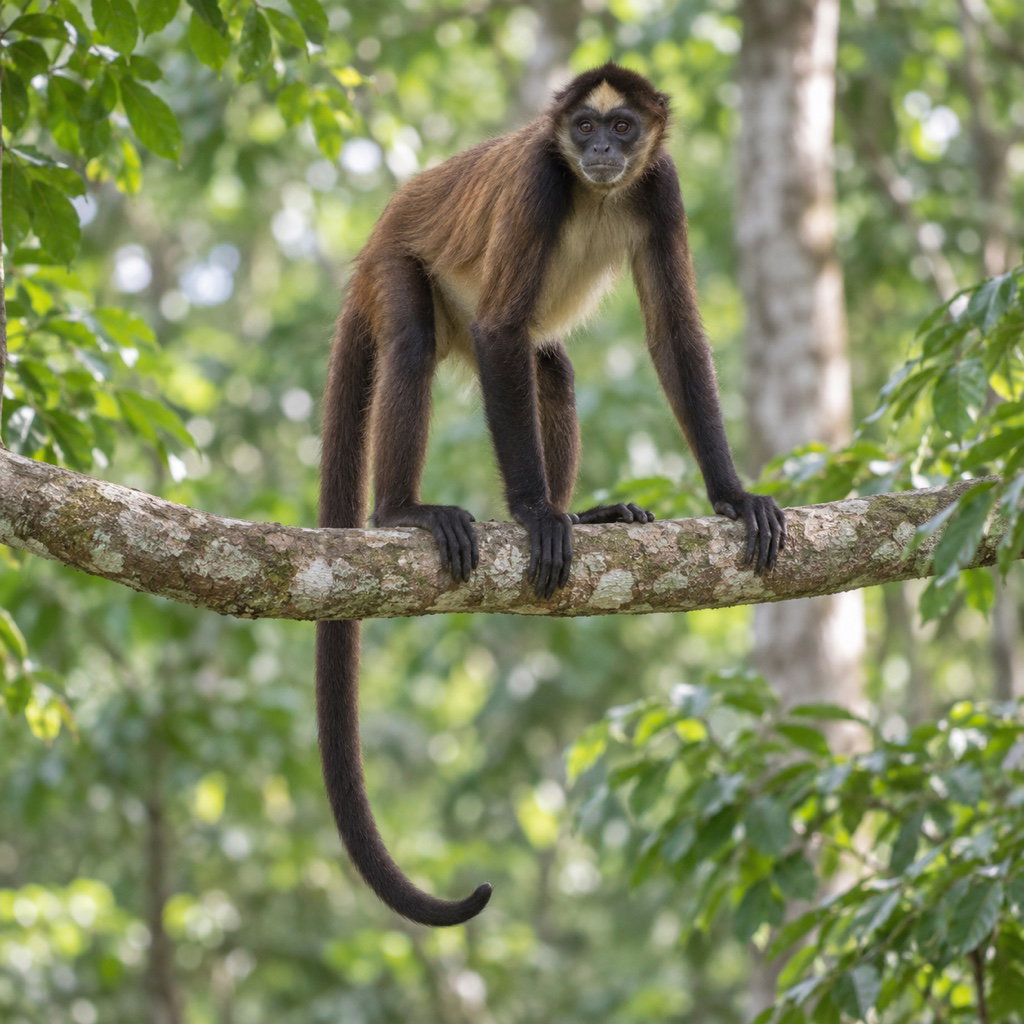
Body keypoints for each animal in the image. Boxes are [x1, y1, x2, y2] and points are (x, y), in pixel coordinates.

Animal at [316, 63, 786, 927]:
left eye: (623, 127)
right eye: (582, 129)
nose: (599, 151)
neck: (597, 192)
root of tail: (371, 243)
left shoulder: (661, 187)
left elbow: (672, 336)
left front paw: (733, 495)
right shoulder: (539, 182)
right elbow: (504, 327)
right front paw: (535, 514)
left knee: (549, 366)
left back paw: (585, 513)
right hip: (399, 268)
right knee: (420, 340)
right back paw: (403, 511)